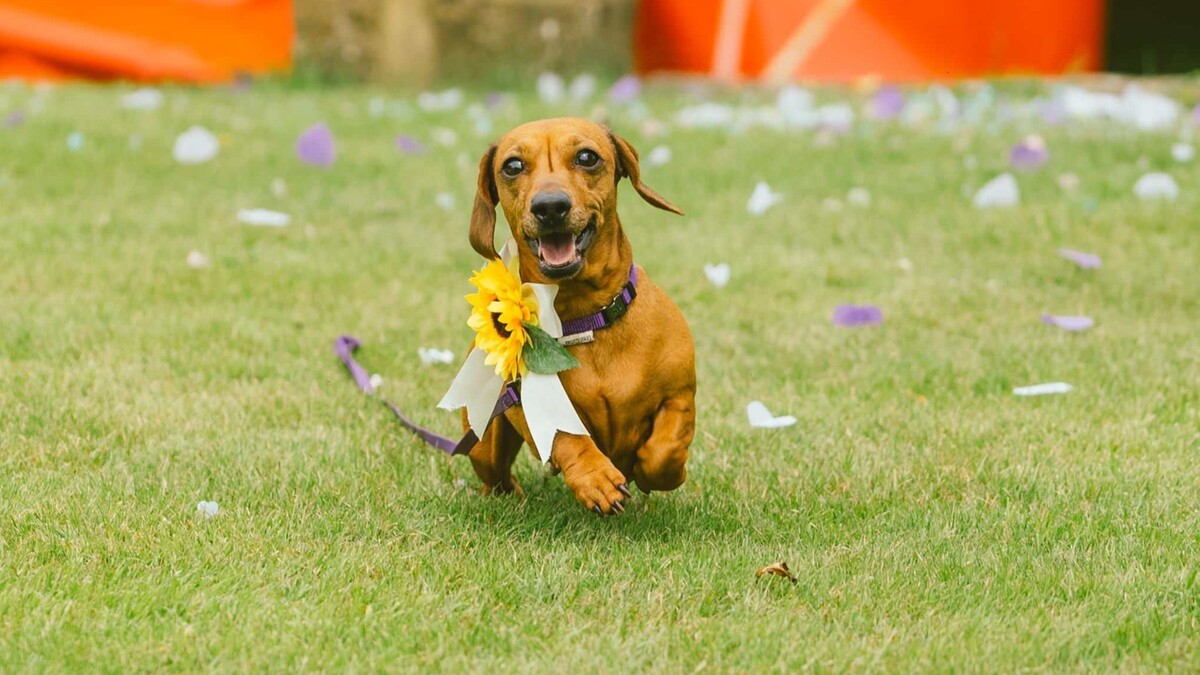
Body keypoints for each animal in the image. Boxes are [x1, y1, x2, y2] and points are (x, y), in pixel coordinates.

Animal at [465, 117, 700, 514]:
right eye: (512, 166)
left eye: (587, 157)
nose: (550, 207)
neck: (586, 318)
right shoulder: (530, 404)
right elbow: (566, 436)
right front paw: (595, 477)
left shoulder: (680, 395)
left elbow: (664, 452)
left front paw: (651, 471)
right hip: (484, 444)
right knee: (495, 475)